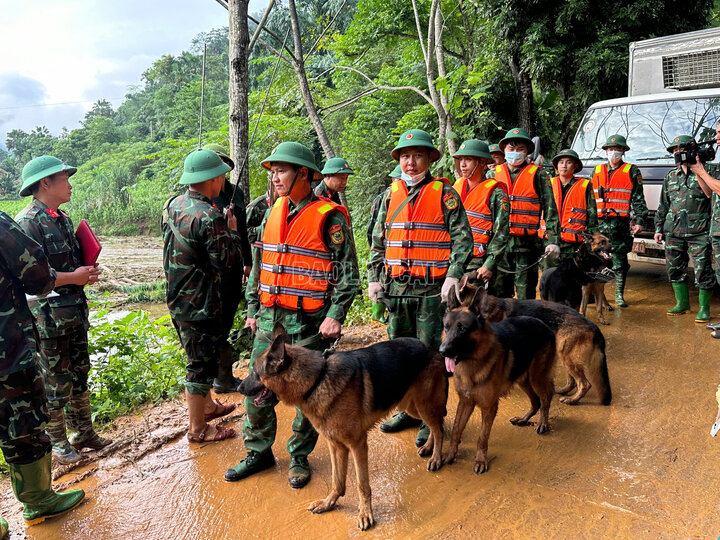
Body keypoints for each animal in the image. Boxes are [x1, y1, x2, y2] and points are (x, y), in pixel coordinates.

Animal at [239, 324, 448, 532]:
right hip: (411, 406)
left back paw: (436, 457)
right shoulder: (336, 445)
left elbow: (362, 485)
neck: (317, 380)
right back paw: (429, 446)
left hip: (423, 405)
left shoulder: (357, 445)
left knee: (439, 428)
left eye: (255, 373)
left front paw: (365, 514)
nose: (239, 388)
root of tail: (429, 347)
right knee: (436, 424)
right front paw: (328, 503)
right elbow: (337, 480)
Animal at [438, 288, 556, 474]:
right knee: (535, 401)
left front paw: (480, 460)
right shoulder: (465, 402)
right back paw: (524, 419)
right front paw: (450, 454)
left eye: (462, 329)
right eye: (446, 327)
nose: (442, 351)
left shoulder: (489, 407)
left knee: (545, 398)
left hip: (537, 378)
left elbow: (482, 437)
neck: (472, 364)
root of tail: (543, 324)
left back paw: (543, 422)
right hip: (523, 379)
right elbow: (457, 429)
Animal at [458, 276, 612, 408]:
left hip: (567, 356)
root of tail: (593, 326)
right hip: (565, 355)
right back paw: (564, 391)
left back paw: (572, 400)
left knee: (584, 384)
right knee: (573, 381)